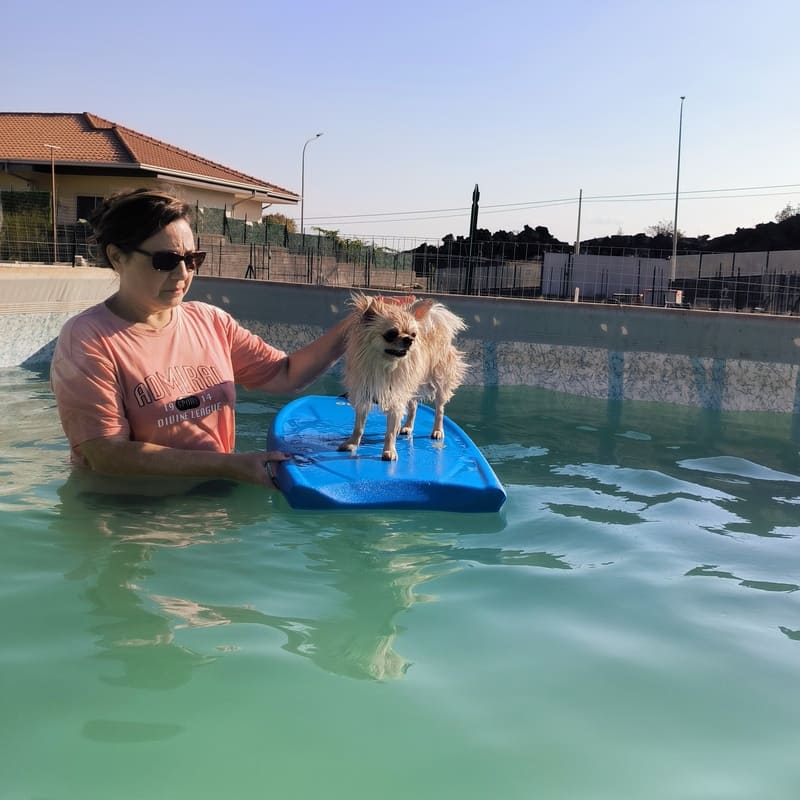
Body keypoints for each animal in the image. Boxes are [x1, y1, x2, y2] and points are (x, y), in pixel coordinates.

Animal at [340, 294, 468, 460]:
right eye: (391, 334)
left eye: (414, 335)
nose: (409, 340)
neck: (385, 365)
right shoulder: (363, 395)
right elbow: (359, 426)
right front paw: (352, 443)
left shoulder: (396, 398)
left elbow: (390, 432)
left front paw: (389, 451)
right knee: (413, 406)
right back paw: (407, 426)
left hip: (439, 382)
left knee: (439, 409)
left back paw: (437, 430)